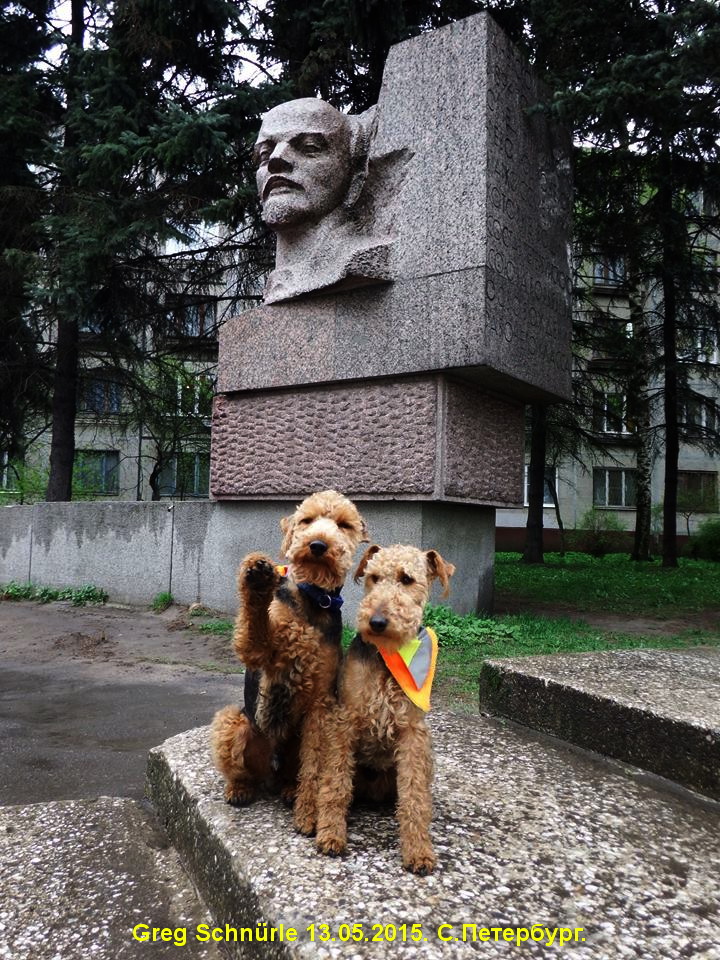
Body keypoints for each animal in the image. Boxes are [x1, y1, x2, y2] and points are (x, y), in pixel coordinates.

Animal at [210, 490, 368, 834]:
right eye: (306, 520)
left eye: (343, 525)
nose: (318, 545)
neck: (314, 599)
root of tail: (271, 771)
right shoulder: (261, 651)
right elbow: (256, 622)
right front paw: (258, 577)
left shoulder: (320, 704)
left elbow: (313, 768)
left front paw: (307, 816)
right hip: (234, 721)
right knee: (240, 771)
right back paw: (239, 789)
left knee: (292, 774)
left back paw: (289, 791)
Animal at [315, 543, 455, 874]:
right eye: (374, 577)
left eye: (407, 579)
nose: (376, 622)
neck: (388, 656)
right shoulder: (345, 721)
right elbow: (335, 784)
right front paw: (330, 834)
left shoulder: (413, 732)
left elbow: (415, 798)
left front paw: (419, 852)